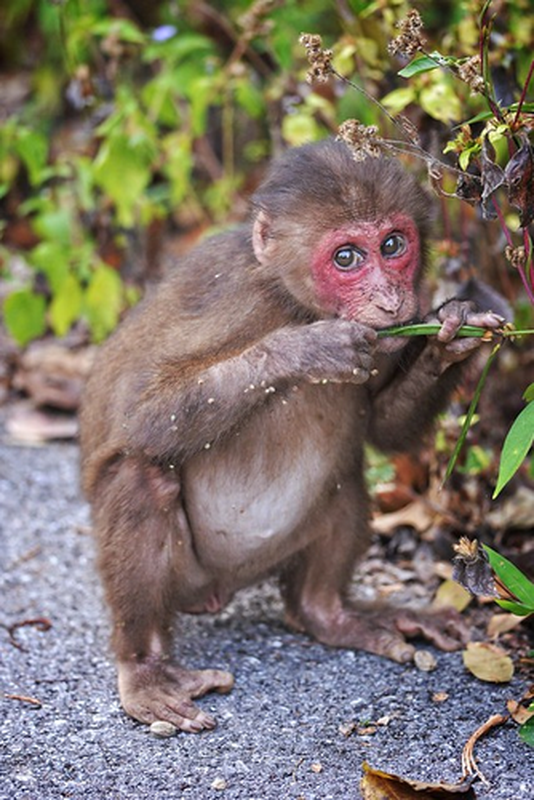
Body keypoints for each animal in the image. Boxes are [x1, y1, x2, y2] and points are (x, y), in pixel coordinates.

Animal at [78, 138, 506, 732]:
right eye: (346, 257)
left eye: (393, 245)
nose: (389, 298)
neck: (295, 300)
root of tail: (220, 589)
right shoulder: (233, 299)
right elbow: (139, 413)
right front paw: (308, 350)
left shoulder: (389, 333)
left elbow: (384, 428)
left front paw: (449, 338)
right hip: (186, 578)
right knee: (141, 475)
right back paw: (143, 664)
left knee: (345, 481)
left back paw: (330, 614)